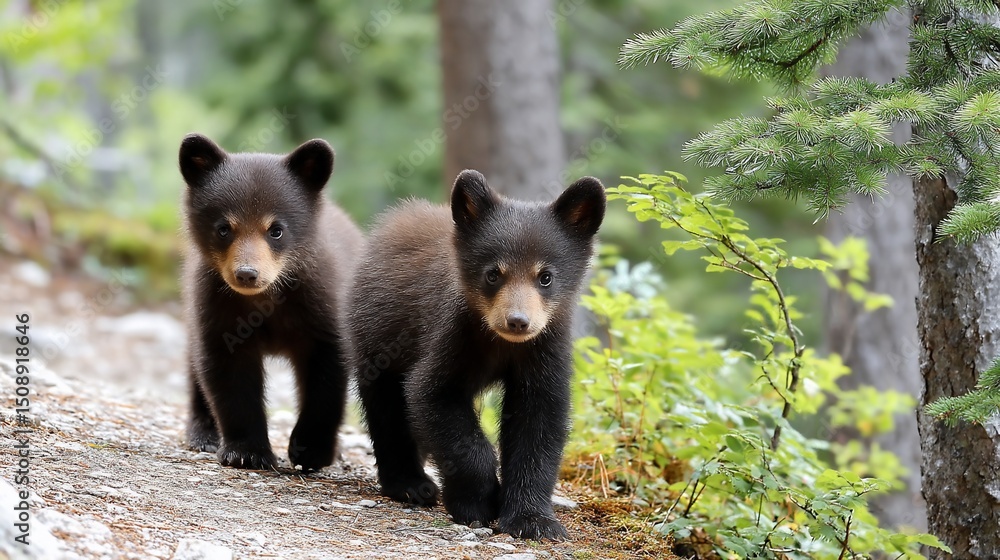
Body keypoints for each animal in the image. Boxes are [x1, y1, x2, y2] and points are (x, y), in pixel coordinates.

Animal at [179, 133, 363, 471]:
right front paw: (247, 452)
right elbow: (228, 375)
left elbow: (326, 378)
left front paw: (311, 450)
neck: (265, 299)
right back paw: (203, 434)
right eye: (224, 228)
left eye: (276, 230)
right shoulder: (215, 305)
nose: (247, 274)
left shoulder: (322, 306)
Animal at [346, 169, 605, 540]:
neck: (501, 343)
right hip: (378, 337)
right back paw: (410, 484)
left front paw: (533, 520)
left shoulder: (545, 348)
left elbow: (538, 424)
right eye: (493, 273)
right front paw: (477, 503)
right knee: (386, 408)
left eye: (545, 276)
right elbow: (434, 397)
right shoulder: (453, 334)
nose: (517, 321)